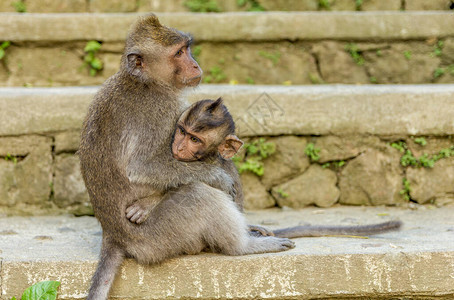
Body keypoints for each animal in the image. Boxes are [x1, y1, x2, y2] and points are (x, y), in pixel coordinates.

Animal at [80, 14, 296, 300]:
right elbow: (143, 167)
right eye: (178, 53)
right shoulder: (161, 110)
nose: (194, 64)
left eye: (187, 48)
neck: (143, 81)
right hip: (158, 236)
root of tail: (114, 236)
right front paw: (217, 177)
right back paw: (243, 246)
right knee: (199, 196)